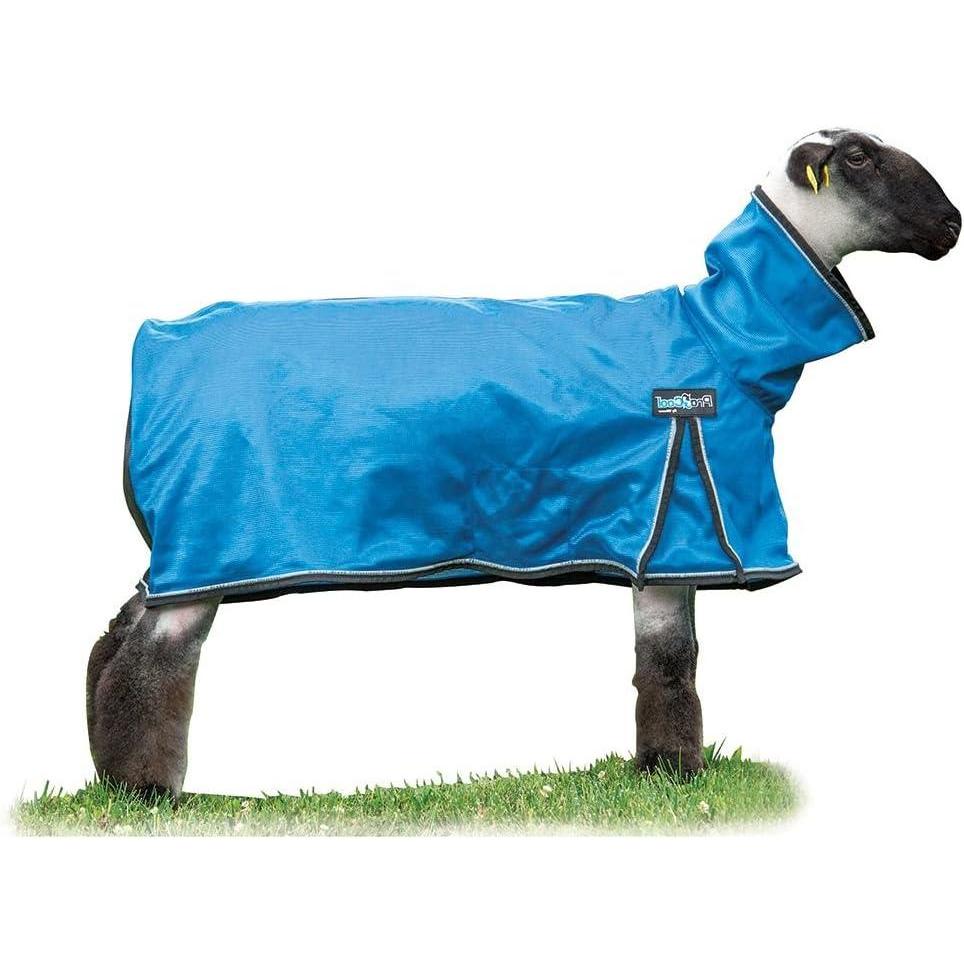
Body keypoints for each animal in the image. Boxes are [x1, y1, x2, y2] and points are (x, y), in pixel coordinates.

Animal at [87, 128, 959, 798]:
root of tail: (155, 339)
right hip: (210, 536)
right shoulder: (678, 529)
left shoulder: (664, 546)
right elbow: (673, 665)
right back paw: (146, 788)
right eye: (858, 157)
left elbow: (664, 660)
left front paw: (658, 772)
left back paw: (106, 766)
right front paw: (680, 776)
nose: (951, 224)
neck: (724, 336)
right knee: (152, 659)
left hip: (182, 548)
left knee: (119, 629)